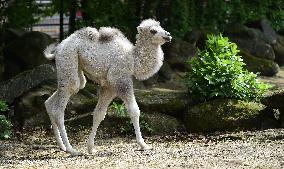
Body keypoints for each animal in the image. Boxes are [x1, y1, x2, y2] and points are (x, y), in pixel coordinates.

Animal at [43, 18, 171, 156]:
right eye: (153, 31)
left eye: (160, 26)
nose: (168, 35)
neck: (133, 59)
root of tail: (58, 48)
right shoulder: (121, 81)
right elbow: (134, 111)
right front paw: (143, 145)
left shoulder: (109, 87)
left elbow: (99, 114)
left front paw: (91, 147)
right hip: (68, 61)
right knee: (59, 108)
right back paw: (71, 150)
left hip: (74, 70)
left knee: (53, 99)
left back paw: (62, 146)